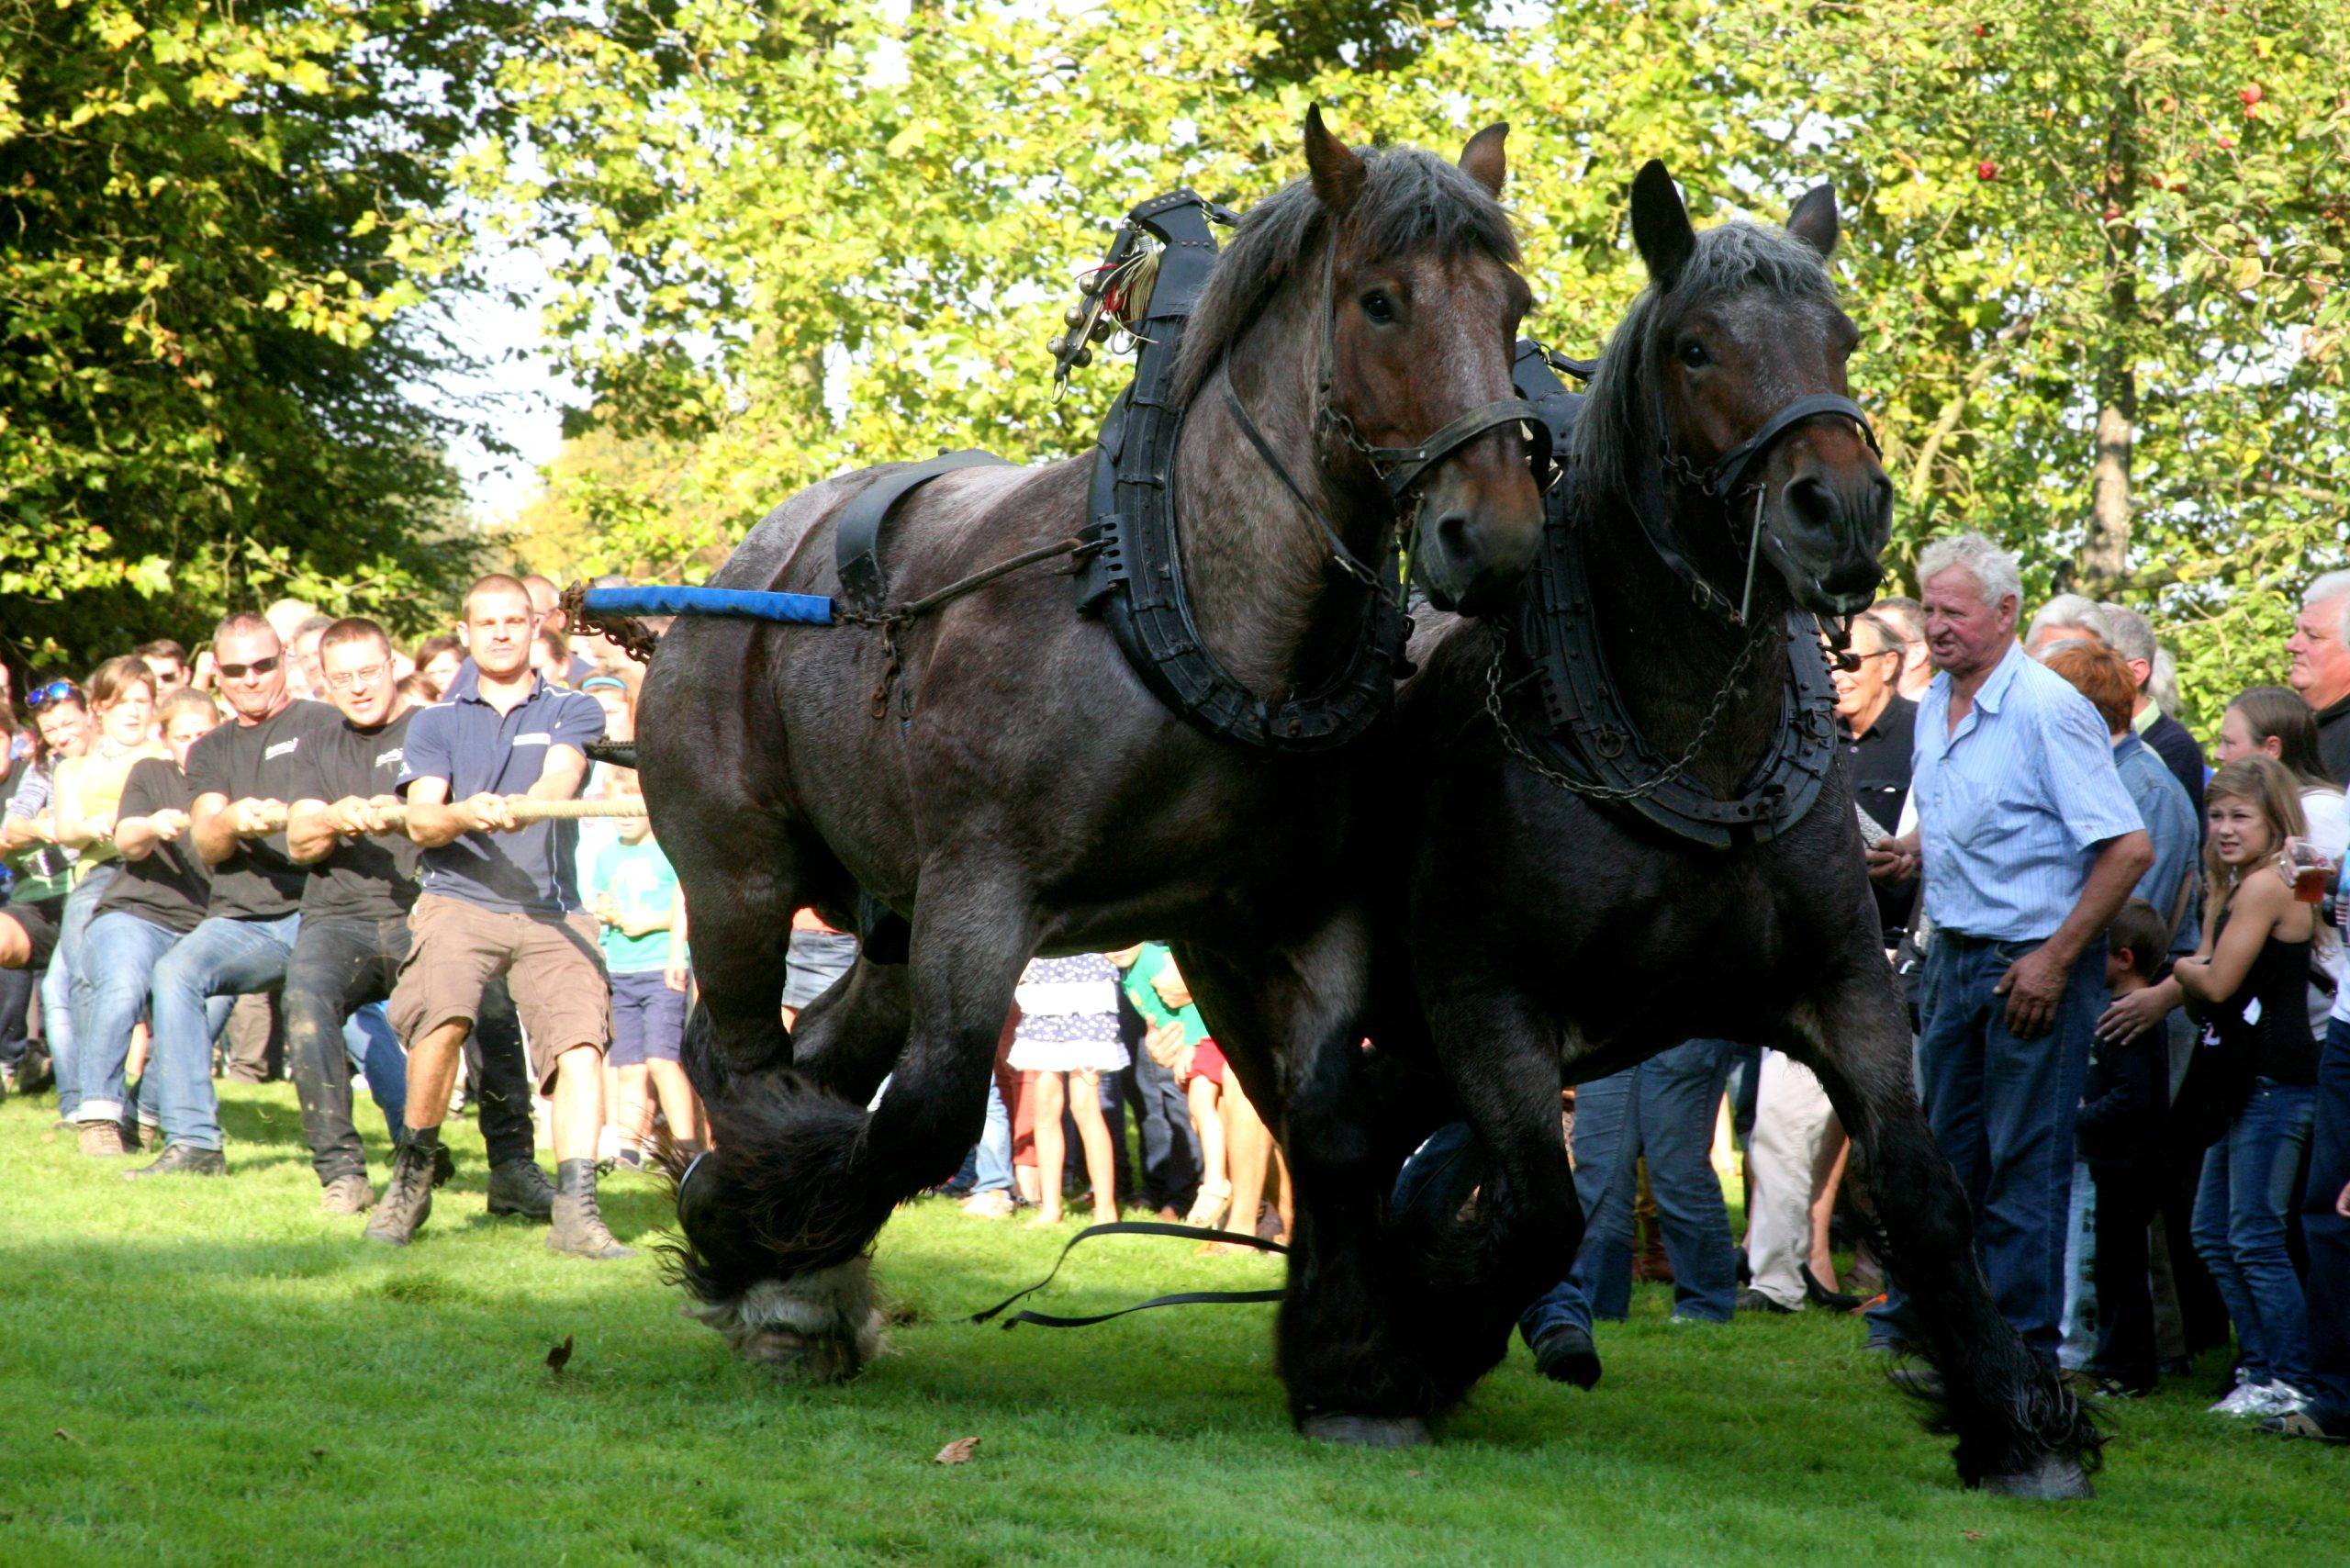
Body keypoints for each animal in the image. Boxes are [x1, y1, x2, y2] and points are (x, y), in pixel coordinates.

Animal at [639, 110, 1560, 1439]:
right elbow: (930, 1109)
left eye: (1512, 305)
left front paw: (1358, 1367)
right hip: (744, 880)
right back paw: (772, 1270)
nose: (1493, 536)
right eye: (1382, 302)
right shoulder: (985, 890)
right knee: (748, 1060)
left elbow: (1334, 1126)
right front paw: (736, 1235)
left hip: (892, 920)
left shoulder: (1308, 911)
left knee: (815, 1060)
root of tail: (745, 565)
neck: (1188, 604)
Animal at [1362, 165, 2115, 1504]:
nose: (1840, 511)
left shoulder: (1846, 987)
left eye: (1841, 337)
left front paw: (2015, 1421)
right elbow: (1541, 1204)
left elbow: (1923, 1190)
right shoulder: (1483, 995)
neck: (1688, 750)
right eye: (1698, 347)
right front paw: (1419, 1353)